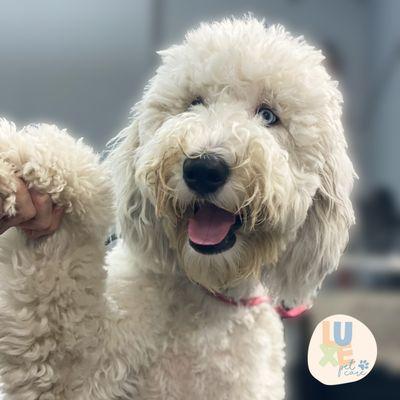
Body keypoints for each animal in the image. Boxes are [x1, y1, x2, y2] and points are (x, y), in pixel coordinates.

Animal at [1, 16, 354, 400]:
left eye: (268, 115)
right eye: (194, 103)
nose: (203, 168)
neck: (208, 291)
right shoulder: (78, 365)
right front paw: (21, 165)